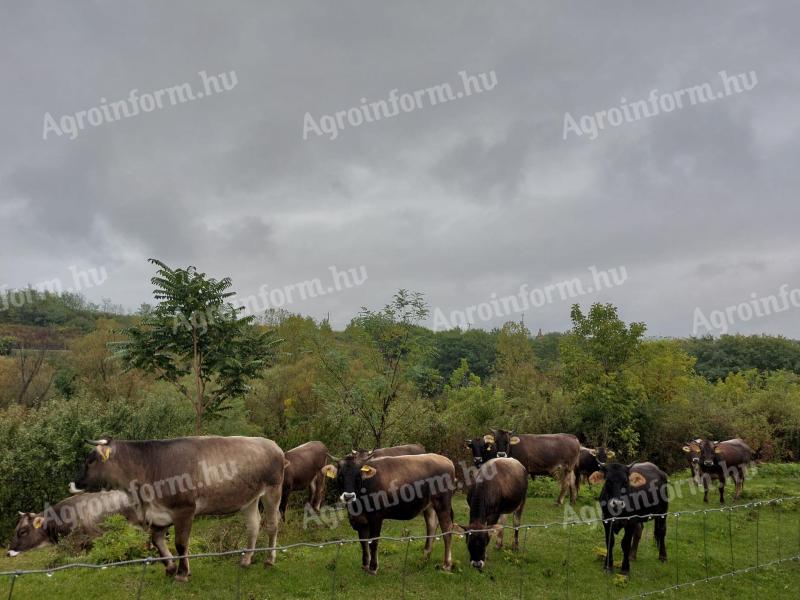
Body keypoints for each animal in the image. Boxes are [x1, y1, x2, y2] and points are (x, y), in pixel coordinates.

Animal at [70, 436, 286, 580]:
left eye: (90, 460)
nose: (73, 483)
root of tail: (272, 444)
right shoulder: (159, 513)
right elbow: (157, 541)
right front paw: (171, 567)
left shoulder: (184, 509)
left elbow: (181, 543)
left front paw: (182, 573)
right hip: (249, 499)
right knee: (254, 525)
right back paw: (246, 559)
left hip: (273, 490)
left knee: (272, 525)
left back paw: (269, 559)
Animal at [320, 452, 456, 576]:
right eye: (340, 476)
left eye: (358, 476)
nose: (348, 496)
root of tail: (446, 460)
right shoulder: (360, 520)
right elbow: (363, 542)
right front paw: (364, 565)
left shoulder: (376, 517)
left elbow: (373, 542)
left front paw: (373, 567)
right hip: (429, 505)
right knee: (431, 526)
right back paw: (424, 558)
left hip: (443, 503)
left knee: (447, 530)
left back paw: (447, 565)